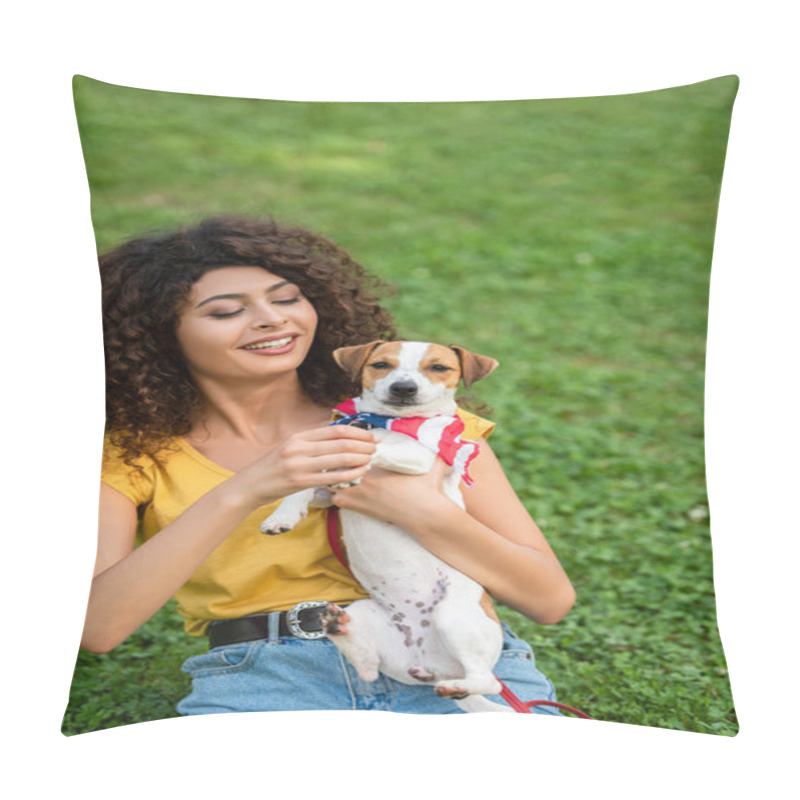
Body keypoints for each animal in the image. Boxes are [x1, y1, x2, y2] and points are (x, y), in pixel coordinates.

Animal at [262, 338, 512, 712]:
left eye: (438, 367)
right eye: (381, 364)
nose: (403, 388)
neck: (384, 422)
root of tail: (434, 668)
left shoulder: (421, 459)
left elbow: (374, 449)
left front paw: (357, 459)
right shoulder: (324, 494)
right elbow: (303, 487)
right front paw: (282, 516)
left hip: (453, 617)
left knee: (489, 681)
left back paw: (456, 687)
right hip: (367, 613)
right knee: (367, 667)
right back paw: (337, 626)